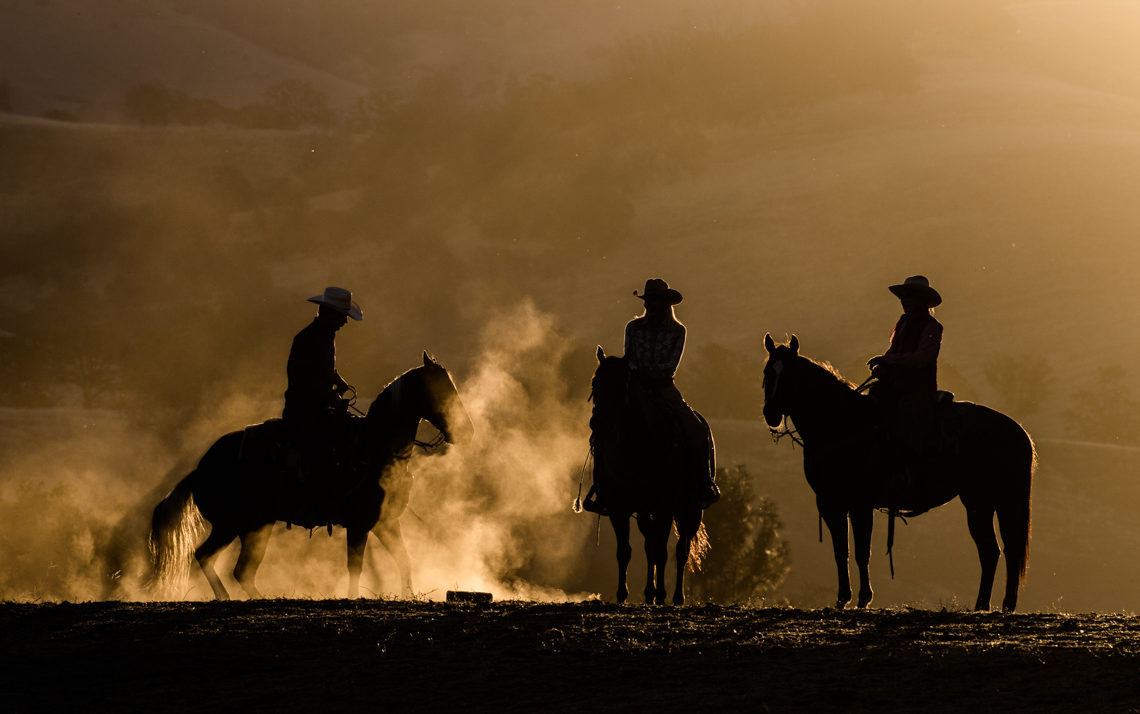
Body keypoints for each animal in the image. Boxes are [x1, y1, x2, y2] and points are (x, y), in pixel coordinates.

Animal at [150, 353, 471, 597]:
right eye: (441, 389)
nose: (465, 429)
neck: (374, 446)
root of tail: (200, 469)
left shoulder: (386, 523)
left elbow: (404, 561)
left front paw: (408, 595)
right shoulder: (359, 524)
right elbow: (355, 565)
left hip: (254, 526)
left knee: (236, 569)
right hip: (235, 526)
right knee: (211, 558)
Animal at [588, 346, 711, 602]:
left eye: (622, 385)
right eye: (595, 382)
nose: (599, 425)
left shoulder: (665, 507)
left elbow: (664, 552)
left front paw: (662, 595)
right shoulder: (618, 508)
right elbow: (625, 551)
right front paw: (622, 595)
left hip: (690, 511)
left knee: (680, 549)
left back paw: (675, 597)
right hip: (646, 511)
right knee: (650, 546)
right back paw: (649, 593)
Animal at [761, 333, 1039, 606]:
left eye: (789, 375)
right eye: (767, 372)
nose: (770, 414)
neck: (842, 425)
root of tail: (1019, 432)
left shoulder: (860, 503)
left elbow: (862, 551)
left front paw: (864, 598)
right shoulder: (830, 502)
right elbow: (841, 550)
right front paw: (842, 598)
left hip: (989, 501)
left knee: (1002, 549)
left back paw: (998, 604)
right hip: (983, 502)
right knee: (992, 551)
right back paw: (986, 605)